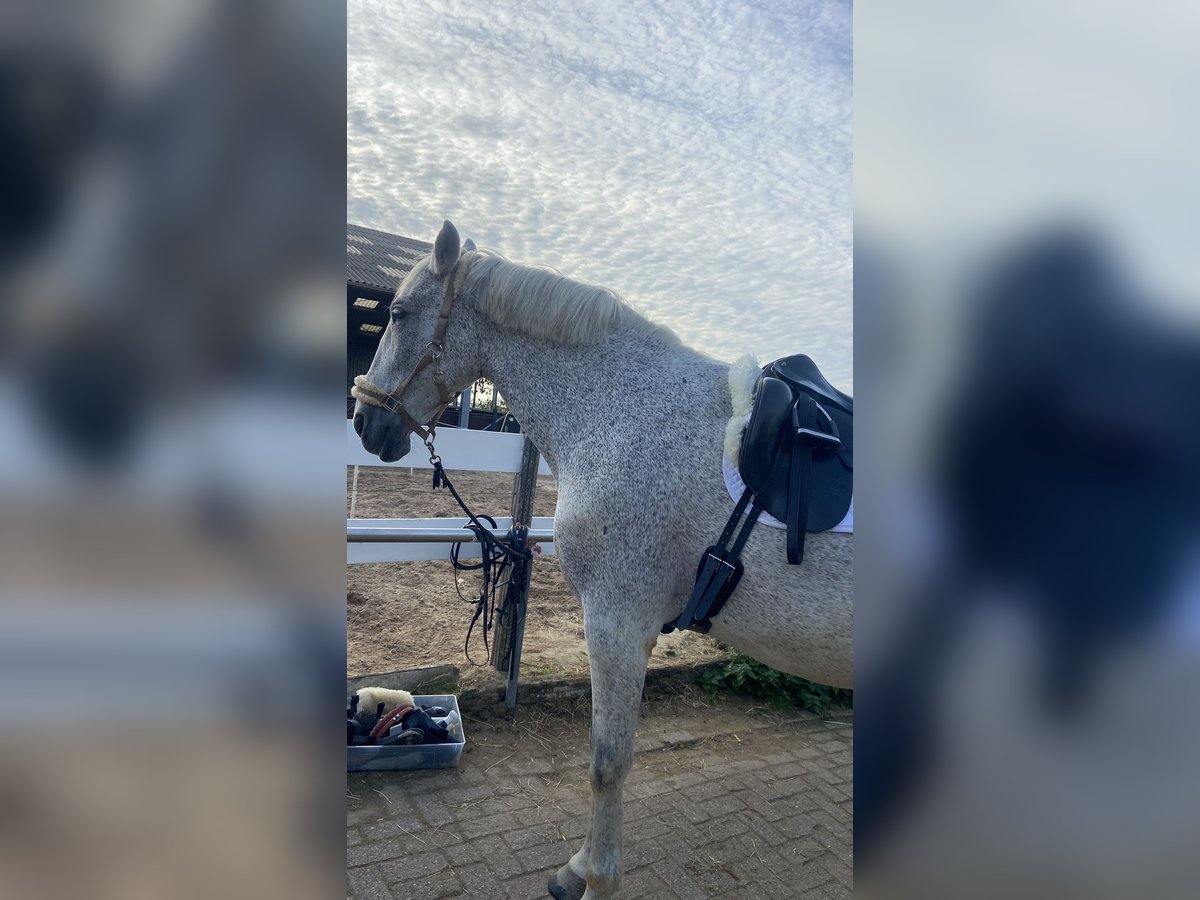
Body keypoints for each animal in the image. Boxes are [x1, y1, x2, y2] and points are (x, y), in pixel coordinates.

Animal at [352, 220, 852, 899]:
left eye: (399, 313)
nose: (364, 420)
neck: (621, 410)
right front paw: (580, 868)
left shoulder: (617, 620)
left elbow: (607, 761)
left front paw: (595, 878)